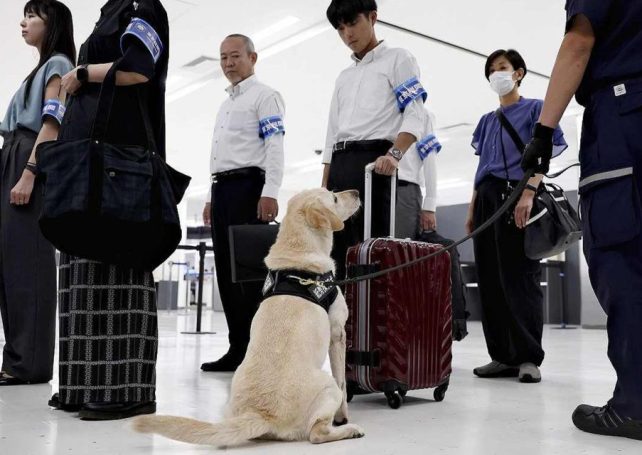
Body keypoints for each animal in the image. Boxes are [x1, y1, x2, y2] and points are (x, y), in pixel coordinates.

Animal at [131, 189, 360, 448]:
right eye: (334, 198)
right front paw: (343, 416)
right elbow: (343, 381)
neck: (297, 256)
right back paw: (350, 430)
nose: (356, 192)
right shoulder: (338, 333)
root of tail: (261, 414)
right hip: (327, 387)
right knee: (317, 433)